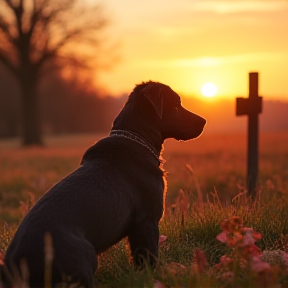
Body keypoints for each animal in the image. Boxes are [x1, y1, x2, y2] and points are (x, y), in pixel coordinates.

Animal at [1, 81, 205, 288]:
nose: (204, 121)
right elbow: (148, 259)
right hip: (85, 256)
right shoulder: (147, 221)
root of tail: (16, 266)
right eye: (176, 104)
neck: (136, 137)